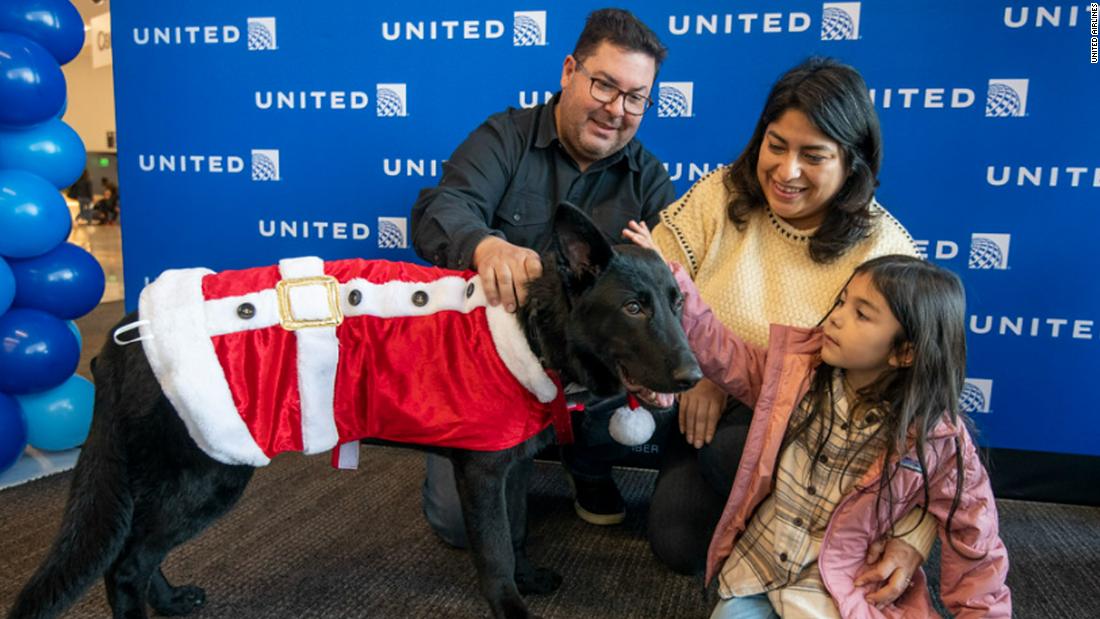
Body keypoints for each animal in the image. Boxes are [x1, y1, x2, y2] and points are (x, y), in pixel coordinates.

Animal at [8, 204, 699, 619]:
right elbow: (496, 550)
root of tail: (126, 332)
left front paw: (528, 578)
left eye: (675, 302)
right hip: (209, 475)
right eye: (633, 308)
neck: (532, 327)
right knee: (125, 564)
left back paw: (173, 599)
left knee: (141, 557)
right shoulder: (480, 472)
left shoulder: (511, 467)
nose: (694, 377)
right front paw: (511, 604)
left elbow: (519, 529)